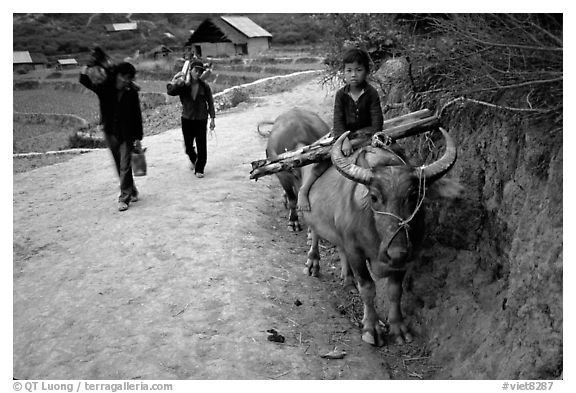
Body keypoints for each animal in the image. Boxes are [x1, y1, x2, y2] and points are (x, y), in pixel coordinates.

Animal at [302, 128, 460, 344]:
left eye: (413, 196)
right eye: (374, 197)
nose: (395, 252)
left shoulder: (405, 258)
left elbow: (395, 290)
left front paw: (398, 327)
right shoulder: (356, 252)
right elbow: (368, 288)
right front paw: (371, 328)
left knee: (339, 248)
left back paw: (348, 280)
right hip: (312, 217)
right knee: (315, 234)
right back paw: (313, 263)